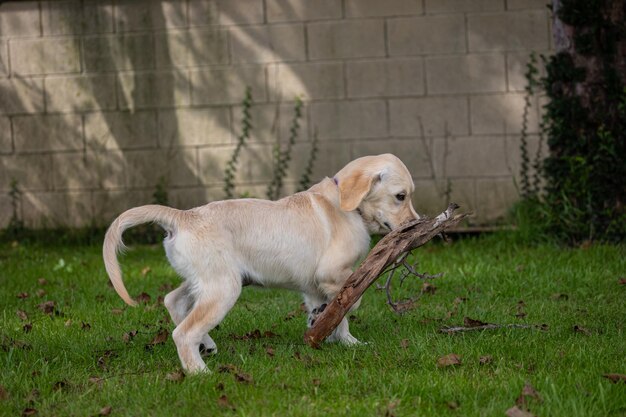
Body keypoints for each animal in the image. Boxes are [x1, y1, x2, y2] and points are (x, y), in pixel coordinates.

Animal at [103, 152, 420, 370]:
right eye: (400, 196)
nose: (416, 225)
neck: (346, 206)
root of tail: (182, 217)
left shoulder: (315, 286)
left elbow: (331, 311)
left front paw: (338, 338)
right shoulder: (334, 274)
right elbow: (347, 304)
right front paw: (342, 335)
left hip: (209, 279)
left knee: (173, 301)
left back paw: (206, 345)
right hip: (224, 287)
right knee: (183, 332)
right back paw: (200, 373)